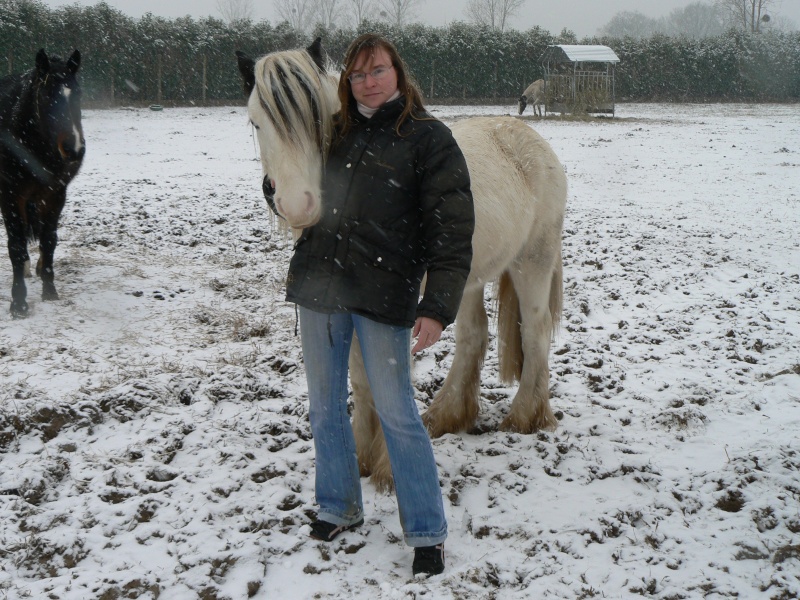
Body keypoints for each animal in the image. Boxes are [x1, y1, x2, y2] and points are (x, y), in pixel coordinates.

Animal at [0, 48, 85, 316]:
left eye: (78, 94)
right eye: (47, 96)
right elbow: (16, 245)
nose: (74, 149)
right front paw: (19, 302)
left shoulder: (55, 193)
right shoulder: (10, 195)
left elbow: (49, 239)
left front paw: (49, 289)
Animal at [238, 41, 568, 492]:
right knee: (473, 335)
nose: (297, 205)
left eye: (318, 118)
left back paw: (524, 416)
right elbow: (361, 382)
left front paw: (386, 469)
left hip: (532, 260)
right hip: (465, 279)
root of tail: (532, 141)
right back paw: (446, 415)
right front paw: (362, 457)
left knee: (535, 329)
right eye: (255, 123)